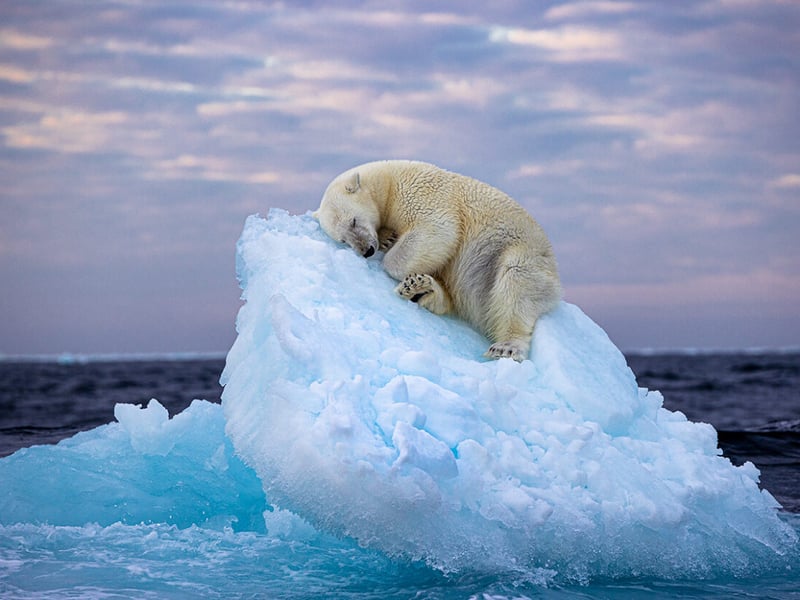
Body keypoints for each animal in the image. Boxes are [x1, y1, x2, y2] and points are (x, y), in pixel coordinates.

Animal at [313, 160, 562, 361]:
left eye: (354, 221)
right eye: (343, 239)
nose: (367, 250)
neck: (389, 181)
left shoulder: (421, 193)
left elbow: (438, 230)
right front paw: (387, 238)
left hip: (519, 252)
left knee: (516, 283)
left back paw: (506, 346)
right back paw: (421, 289)